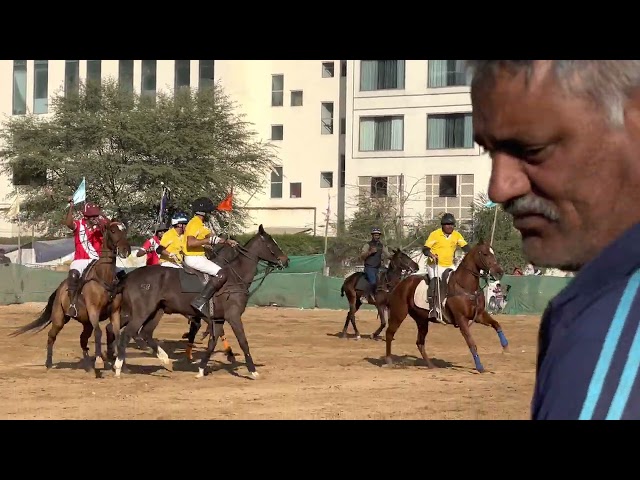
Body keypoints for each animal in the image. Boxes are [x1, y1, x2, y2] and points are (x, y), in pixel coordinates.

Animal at [9, 219, 131, 376]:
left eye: (125, 230)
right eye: (113, 231)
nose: (125, 250)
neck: (104, 277)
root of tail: (60, 288)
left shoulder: (114, 312)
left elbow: (117, 334)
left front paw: (121, 364)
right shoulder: (94, 310)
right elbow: (98, 332)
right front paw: (99, 360)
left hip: (86, 323)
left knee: (83, 340)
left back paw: (88, 366)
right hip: (59, 318)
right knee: (51, 335)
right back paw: (49, 363)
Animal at [110, 225, 290, 378]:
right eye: (271, 243)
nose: (286, 260)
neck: (235, 277)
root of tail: (129, 276)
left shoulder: (218, 319)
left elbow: (212, 342)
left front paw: (202, 369)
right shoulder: (233, 316)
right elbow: (243, 342)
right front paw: (253, 371)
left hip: (156, 310)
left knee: (144, 333)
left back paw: (165, 361)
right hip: (142, 311)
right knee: (127, 333)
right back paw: (119, 367)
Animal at [382, 242, 508, 374]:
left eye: (493, 252)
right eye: (485, 254)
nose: (499, 272)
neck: (465, 286)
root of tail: (400, 284)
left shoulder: (478, 315)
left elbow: (496, 324)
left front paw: (505, 346)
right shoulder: (461, 319)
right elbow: (471, 343)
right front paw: (479, 367)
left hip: (422, 320)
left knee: (419, 342)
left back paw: (430, 365)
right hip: (398, 313)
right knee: (389, 333)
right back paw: (389, 361)